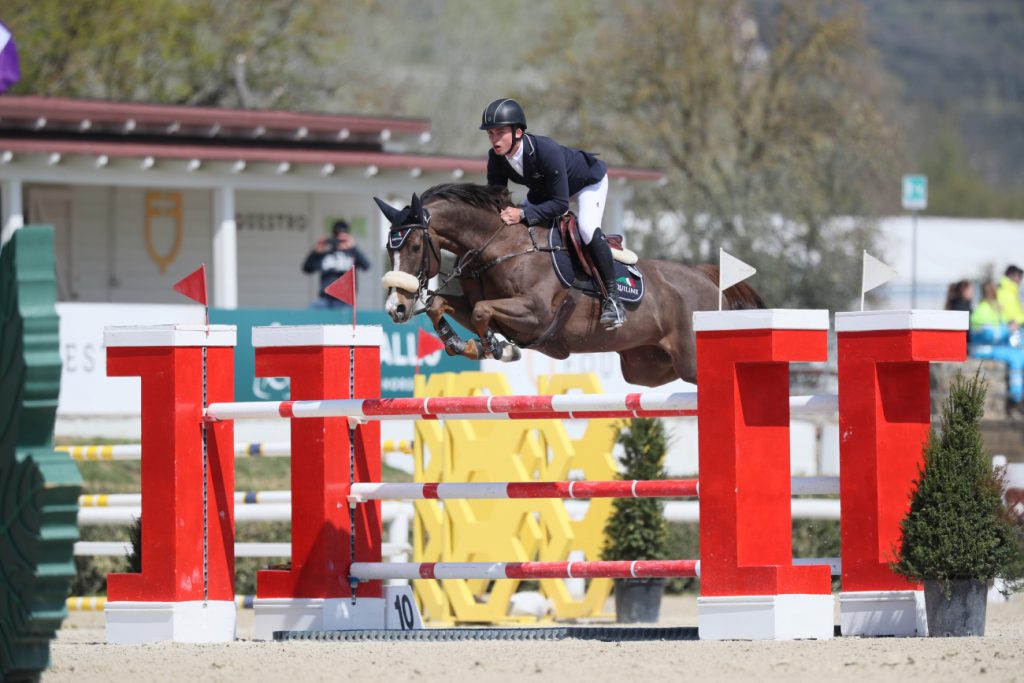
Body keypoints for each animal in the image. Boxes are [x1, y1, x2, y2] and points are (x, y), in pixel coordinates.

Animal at [372, 183, 765, 385]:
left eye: (415, 246)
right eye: (389, 248)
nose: (396, 308)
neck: (500, 245)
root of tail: (707, 278)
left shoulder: (536, 315)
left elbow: (484, 312)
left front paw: (498, 349)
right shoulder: (481, 307)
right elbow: (444, 306)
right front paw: (463, 345)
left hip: (692, 362)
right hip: (648, 368)